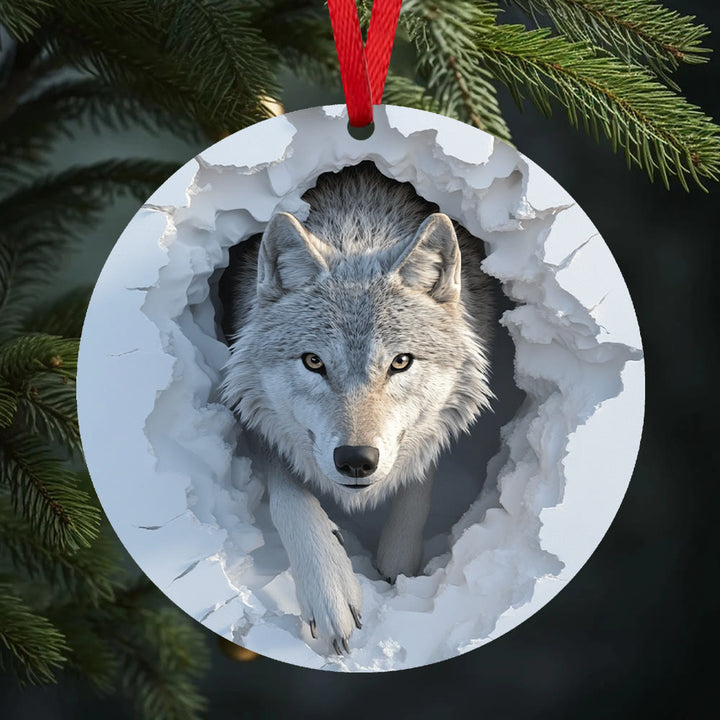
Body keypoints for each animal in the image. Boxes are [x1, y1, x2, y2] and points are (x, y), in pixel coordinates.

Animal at [220, 162, 494, 654]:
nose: (356, 460)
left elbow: (418, 480)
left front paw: (397, 567)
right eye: (313, 362)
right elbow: (290, 495)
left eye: (400, 362)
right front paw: (330, 593)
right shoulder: (255, 417)